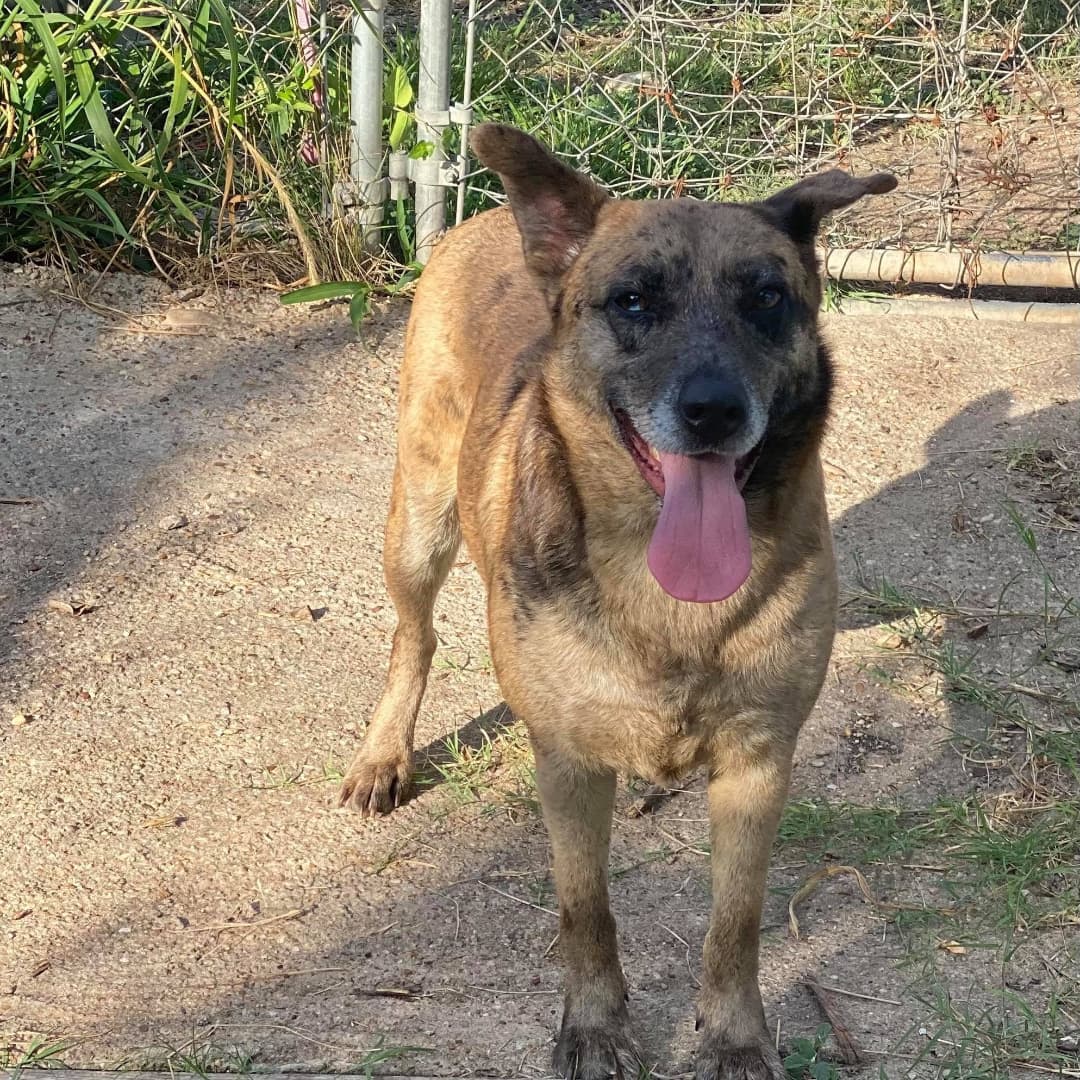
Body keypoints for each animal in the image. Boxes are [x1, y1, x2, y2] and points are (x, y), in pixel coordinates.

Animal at [339, 128, 894, 1080]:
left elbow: (737, 922)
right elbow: (585, 912)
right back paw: (384, 754)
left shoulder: (758, 762)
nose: (712, 412)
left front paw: (735, 1036)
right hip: (418, 521)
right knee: (414, 638)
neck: (665, 589)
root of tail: (488, 217)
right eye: (633, 301)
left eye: (768, 299)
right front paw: (595, 1028)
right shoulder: (567, 763)